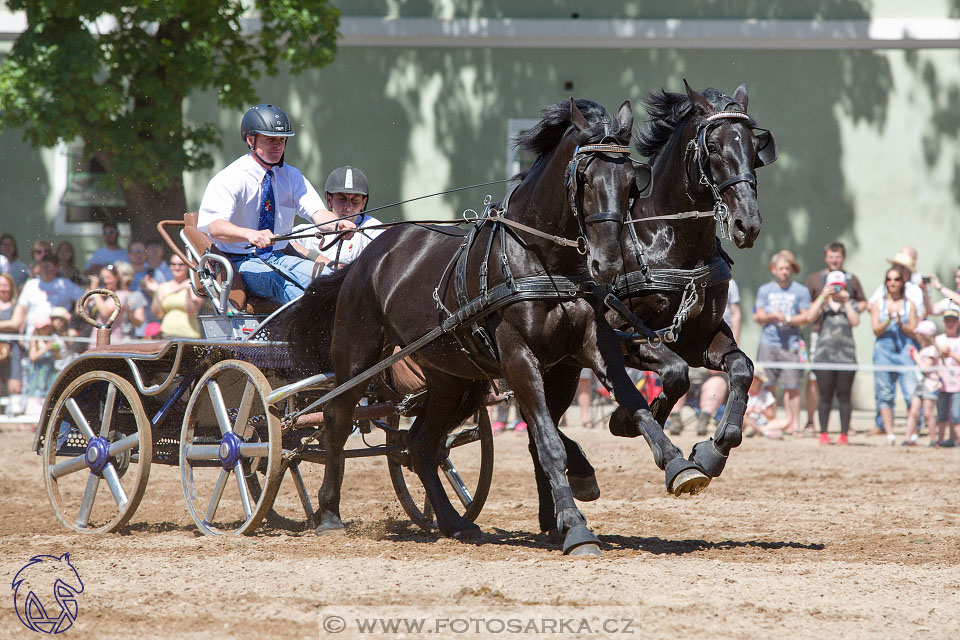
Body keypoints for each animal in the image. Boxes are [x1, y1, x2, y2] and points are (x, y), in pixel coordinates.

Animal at [288, 96, 656, 556]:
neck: (538, 258)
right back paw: (328, 513)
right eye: (584, 178)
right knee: (336, 420)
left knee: (421, 446)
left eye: (631, 181)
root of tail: (366, 256)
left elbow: (635, 403)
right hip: (356, 358)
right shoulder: (518, 357)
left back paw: (453, 521)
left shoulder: (588, 344)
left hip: (450, 379)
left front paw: (682, 465)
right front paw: (574, 527)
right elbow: (548, 442)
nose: (607, 263)